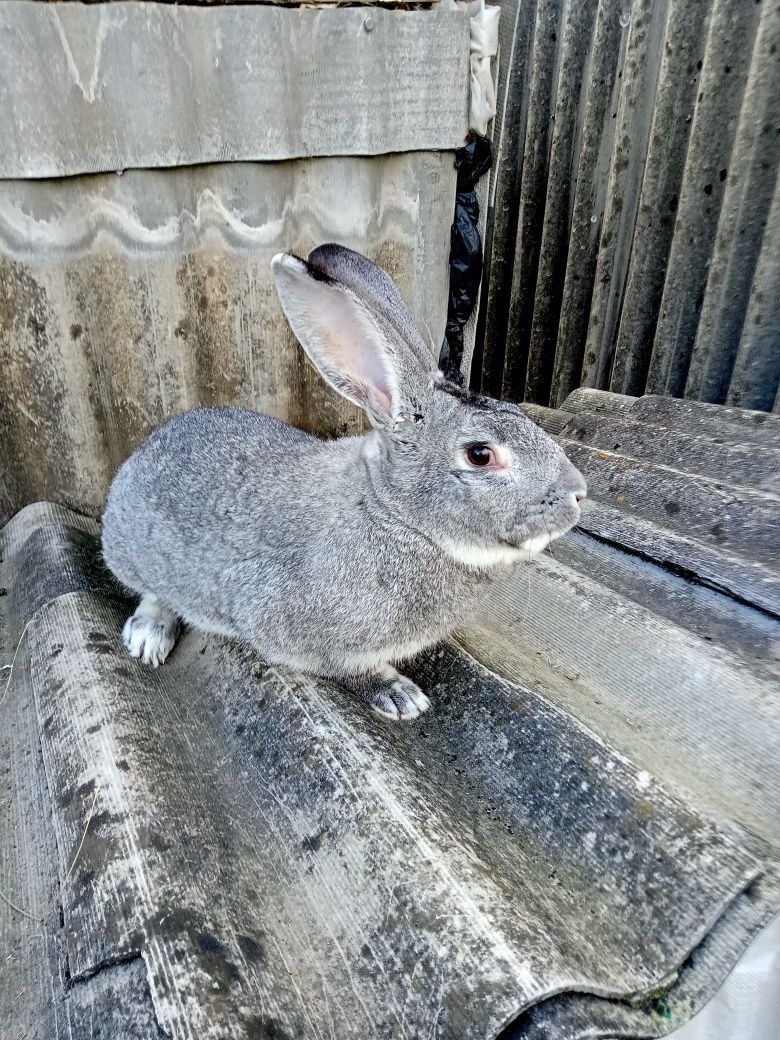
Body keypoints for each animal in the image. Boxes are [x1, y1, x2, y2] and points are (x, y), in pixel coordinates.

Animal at [100, 244, 582, 719]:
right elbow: (346, 668)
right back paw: (149, 637)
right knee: (152, 592)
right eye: (480, 454)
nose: (578, 493)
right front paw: (401, 696)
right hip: (132, 553)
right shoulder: (291, 626)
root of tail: (146, 449)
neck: (395, 515)